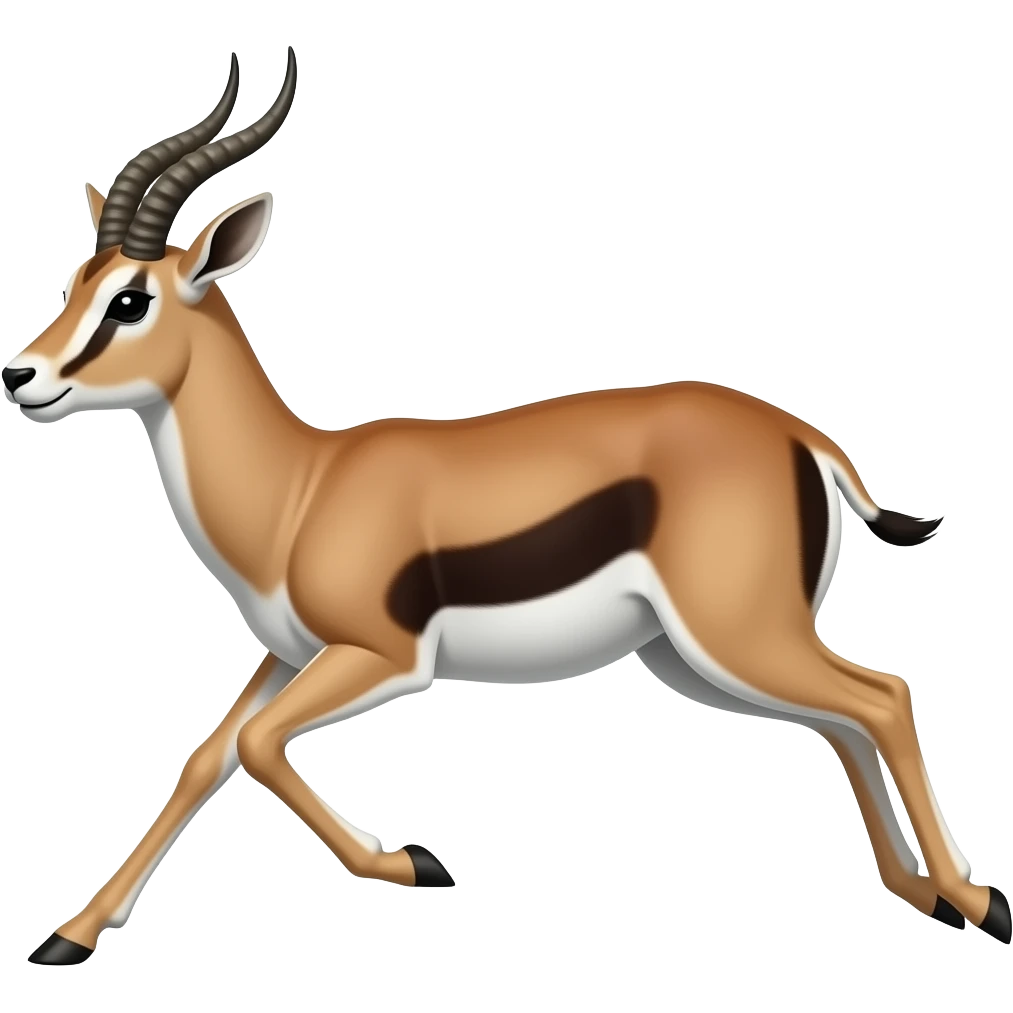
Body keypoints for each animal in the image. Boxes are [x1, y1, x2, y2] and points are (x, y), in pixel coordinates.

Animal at [10, 47, 1011, 969]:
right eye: (73, 283)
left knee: (882, 695)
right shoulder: (288, 656)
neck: (302, 487)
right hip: (697, 655)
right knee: (844, 720)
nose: (21, 376)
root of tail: (800, 434)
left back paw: (976, 901)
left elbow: (255, 748)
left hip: (737, 634)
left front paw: (417, 862)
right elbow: (202, 760)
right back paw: (919, 892)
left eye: (129, 299)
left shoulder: (380, 655)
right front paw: (68, 935)